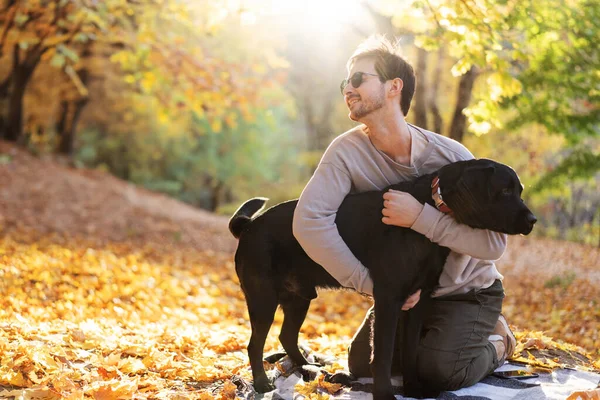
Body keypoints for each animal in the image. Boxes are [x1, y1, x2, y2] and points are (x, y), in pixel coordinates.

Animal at [227, 158, 536, 398]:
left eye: (518, 190)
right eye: (505, 190)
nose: (533, 220)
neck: (431, 208)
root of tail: (249, 225)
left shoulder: (419, 300)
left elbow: (410, 351)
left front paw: (413, 388)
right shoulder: (389, 298)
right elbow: (384, 354)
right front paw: (385, 394)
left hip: (298, 298)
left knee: (287, 336)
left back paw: (308, 369)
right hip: (263, 300)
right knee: (255, 344)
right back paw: (262, 383)